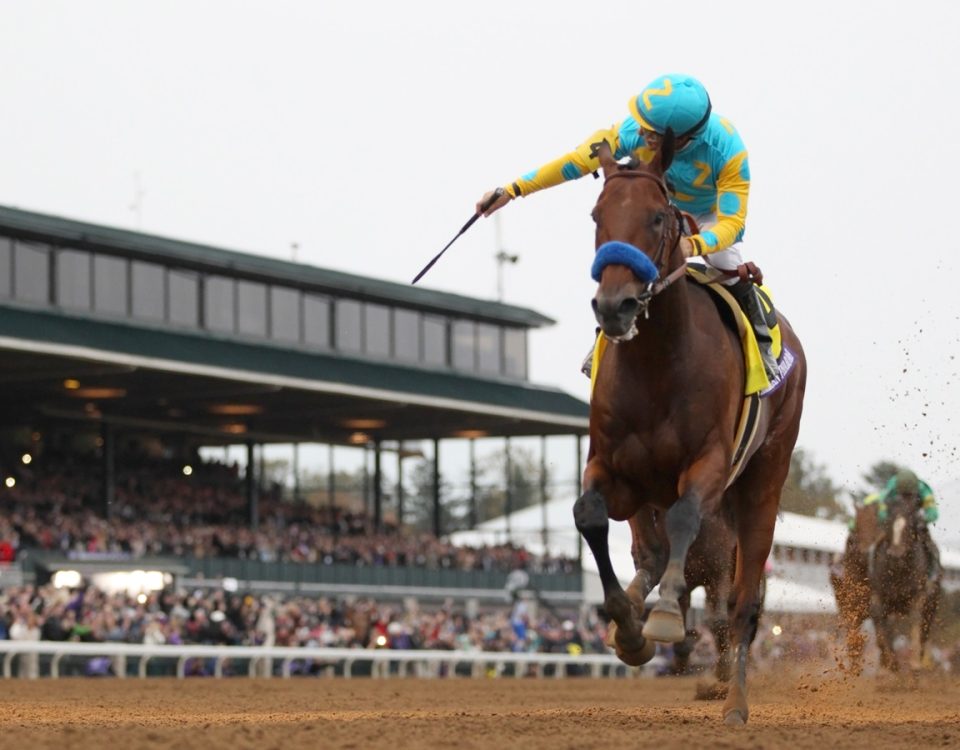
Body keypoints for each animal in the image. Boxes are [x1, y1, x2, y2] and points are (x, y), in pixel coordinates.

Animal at [572, 137, 808, 728]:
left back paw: (735, 703)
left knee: (745, 604)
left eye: (658, 217)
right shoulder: (612, 467)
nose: (614, 306)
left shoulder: (708, 465)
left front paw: (658, 618)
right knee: (654, 553)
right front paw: (629, 628)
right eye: (597, 216)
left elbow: (686, 523)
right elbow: (590, 516)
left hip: (764, 481)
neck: (657, 365)